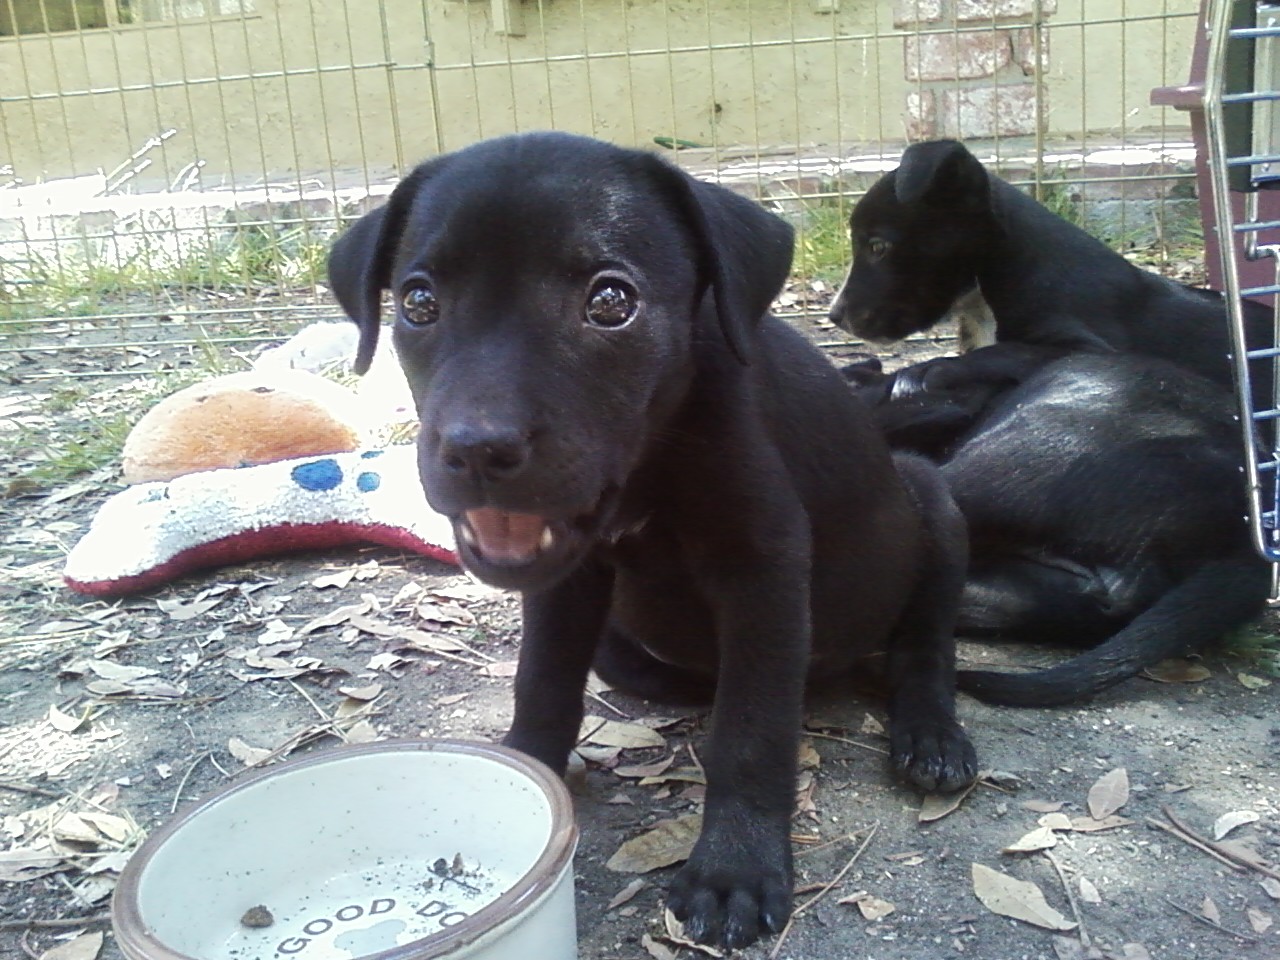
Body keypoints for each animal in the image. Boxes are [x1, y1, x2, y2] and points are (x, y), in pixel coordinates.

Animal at [325, 133, 972, 957]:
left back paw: (931, 734)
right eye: (416, 303)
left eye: (610, 303)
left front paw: (733, 869)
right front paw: (524, 771)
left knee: (924, 644)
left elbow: (752, 729)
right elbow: (542, 681)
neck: (652, 466)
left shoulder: (765, 568)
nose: (476, 449)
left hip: (932, 501)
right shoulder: (566, 585)